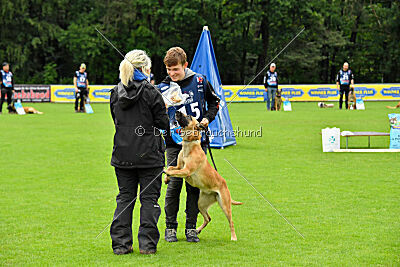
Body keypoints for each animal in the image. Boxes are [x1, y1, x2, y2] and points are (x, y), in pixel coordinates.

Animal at [164, 112, 242, 242]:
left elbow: (171, 170)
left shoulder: (186, 171)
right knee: (208, 218)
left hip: (225, 205)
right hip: (201, 203)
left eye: (189, 116)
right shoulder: (179, 166)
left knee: (231, 222)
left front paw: (166, 173)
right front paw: (166, 178)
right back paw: (197, 230)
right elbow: (170, 167)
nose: (177, 112)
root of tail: (224, 184)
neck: (190, 145)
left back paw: (233, 237)